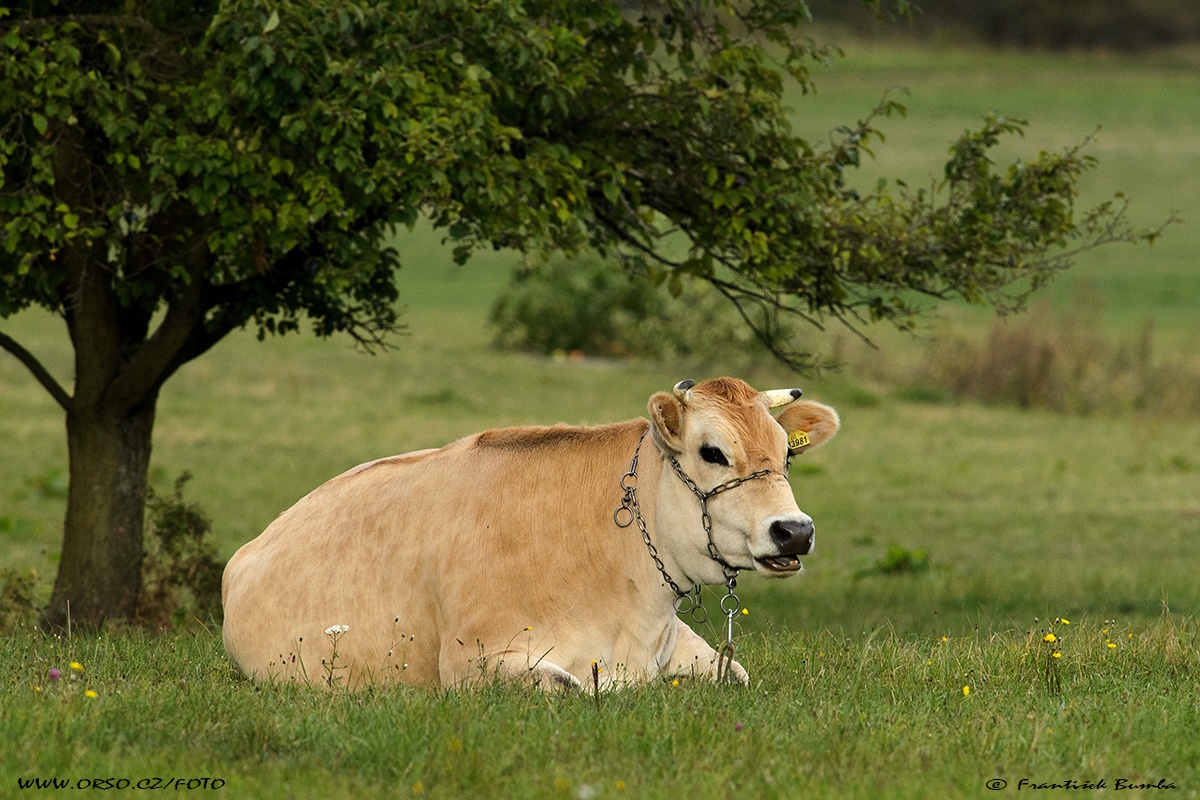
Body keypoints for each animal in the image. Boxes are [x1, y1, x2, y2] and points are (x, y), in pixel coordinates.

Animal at [226, 376, 844, 690]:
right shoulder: (470, 663)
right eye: (712, 451)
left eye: (787, 453)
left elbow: (734, 673)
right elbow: (570, 686)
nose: (794, 531)